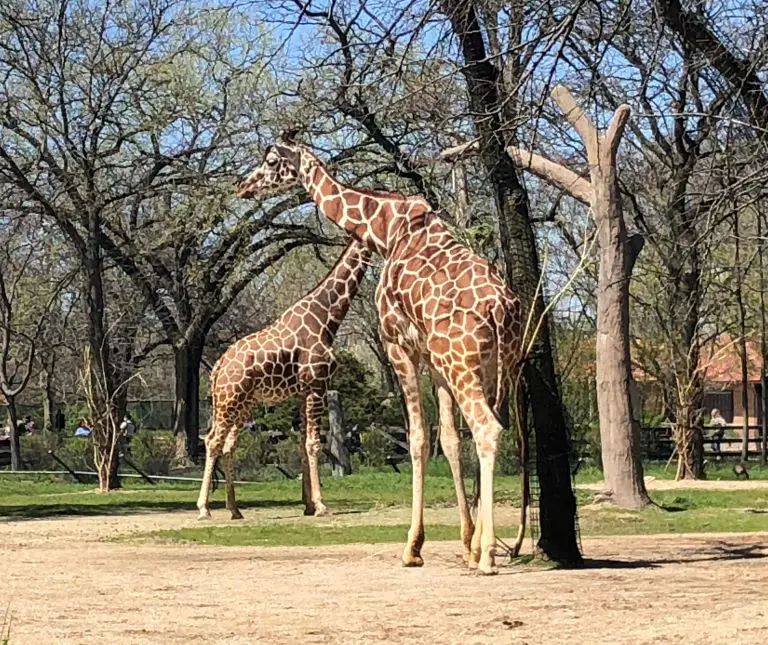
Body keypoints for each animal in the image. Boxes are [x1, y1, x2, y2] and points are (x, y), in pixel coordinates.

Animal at [195, 240, 368, 520]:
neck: (326, 317)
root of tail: (218, 368)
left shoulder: (304, 391)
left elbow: (302, 445)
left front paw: (308, 505)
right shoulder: (317, 385)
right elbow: (313, 444)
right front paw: (321, 506)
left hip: (244, 405)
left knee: (228, 445)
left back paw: (235, 509)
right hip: (229, 401)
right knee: (212, 441)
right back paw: (204, 509)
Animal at [237, 132, 524, 572]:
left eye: (270, 161)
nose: (243, 186)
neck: (386, 228)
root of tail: (500, 308)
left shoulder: (397, 343)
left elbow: (418, 438)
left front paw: (413, 547)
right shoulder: (432, 359)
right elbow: (448, 440)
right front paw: (465, 542)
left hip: (462, 363)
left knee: (487, 428)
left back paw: (490, 555)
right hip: (497, 367)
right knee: (491, 428)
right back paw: (488, 546)